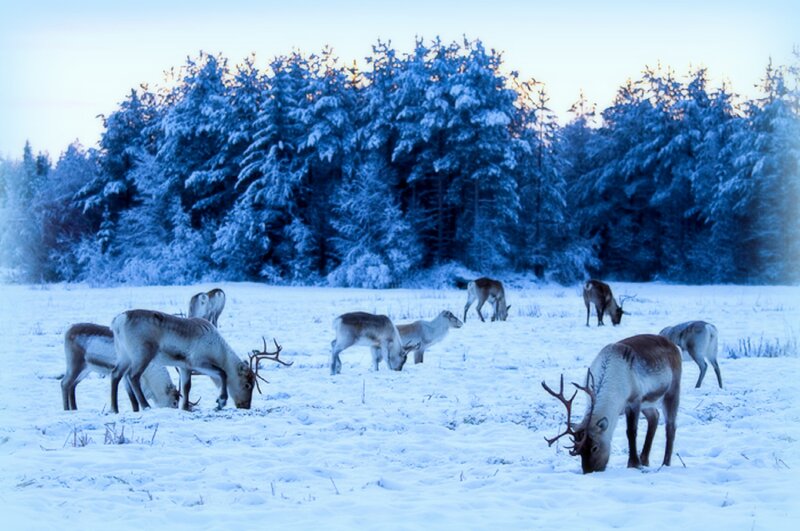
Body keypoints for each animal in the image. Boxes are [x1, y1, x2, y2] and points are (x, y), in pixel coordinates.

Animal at [110, 310, 291, 413]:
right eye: (247, 384)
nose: (245, 406)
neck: (220, 352)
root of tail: (118, 321)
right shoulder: (198, 361)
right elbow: (222, 373)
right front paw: (221, 401)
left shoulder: (184, 366)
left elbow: (187, 387)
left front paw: (185, 408)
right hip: (142, 353)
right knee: (133, 376)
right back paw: (145, 406)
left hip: (123, 354)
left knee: (116, 374)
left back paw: (114, 408)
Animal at [541, 334, 681, 474]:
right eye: (578, 451)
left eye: (595, 447)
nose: (589, 471)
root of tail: (673, 345)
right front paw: (638, 462)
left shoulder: (634, 400)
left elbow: (631, 432)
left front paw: (634, 463)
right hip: (647, 402)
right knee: (654, 416)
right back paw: (645, 459)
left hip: (672, 390)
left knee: (670, 426)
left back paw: (665, 463)